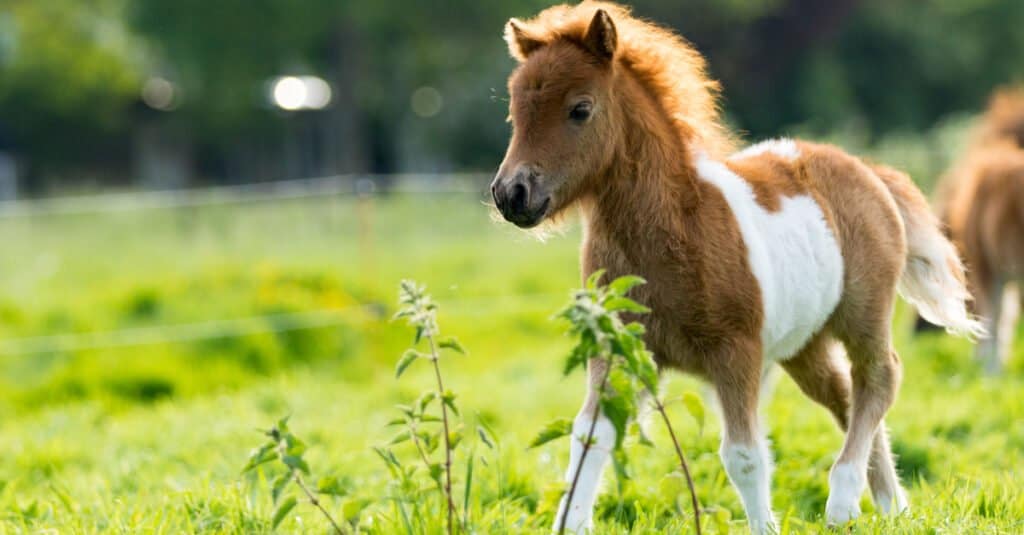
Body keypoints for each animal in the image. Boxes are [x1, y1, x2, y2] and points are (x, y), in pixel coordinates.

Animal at [487, 2, 983, 528]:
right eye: (515, 110)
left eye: (580, 109)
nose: (512, 193)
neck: (675, 228)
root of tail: (868, 170)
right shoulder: (621, 346)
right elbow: (591, 436)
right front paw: (570, 523)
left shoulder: (736, 352)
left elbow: (744, 456)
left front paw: (765, 526)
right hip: (803, 345)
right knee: (845, 395)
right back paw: (891, 508)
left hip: (862, 314)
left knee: (879, 379)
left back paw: (843, 501)